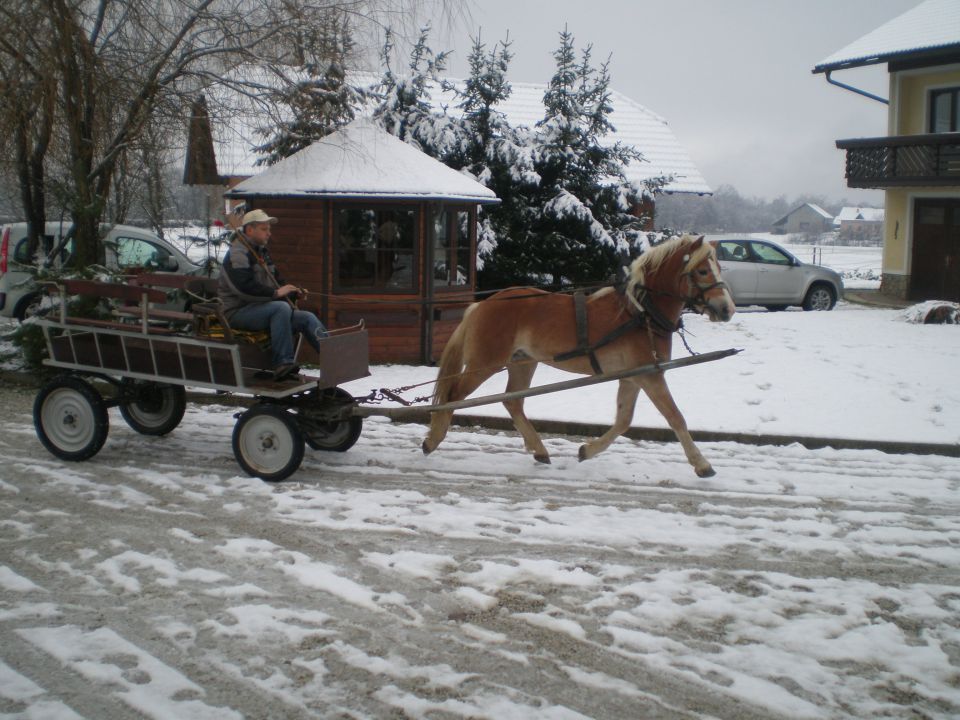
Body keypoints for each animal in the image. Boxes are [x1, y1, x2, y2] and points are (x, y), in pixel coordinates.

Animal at [422, 232, 736, 478]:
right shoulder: (650, 375)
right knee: (453, 396)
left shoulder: (633, 376)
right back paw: (433, 439)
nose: (727, 309)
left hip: (522, 362)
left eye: (719, 267)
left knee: (513, 402)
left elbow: (624, 420)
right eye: (702, 271)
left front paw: (587, 450)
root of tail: (482, 304)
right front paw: (702, 464)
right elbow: (675, 417)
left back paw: (539, 450)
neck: (640, 311)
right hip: (484, 363)